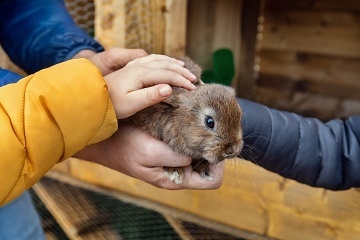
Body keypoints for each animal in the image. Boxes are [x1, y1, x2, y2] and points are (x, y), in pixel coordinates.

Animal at [119, 56, 243, 184]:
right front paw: (175, 172)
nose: (231, 150)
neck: (180, 119)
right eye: (210, 122)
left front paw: (205, 171)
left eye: (240, 116)